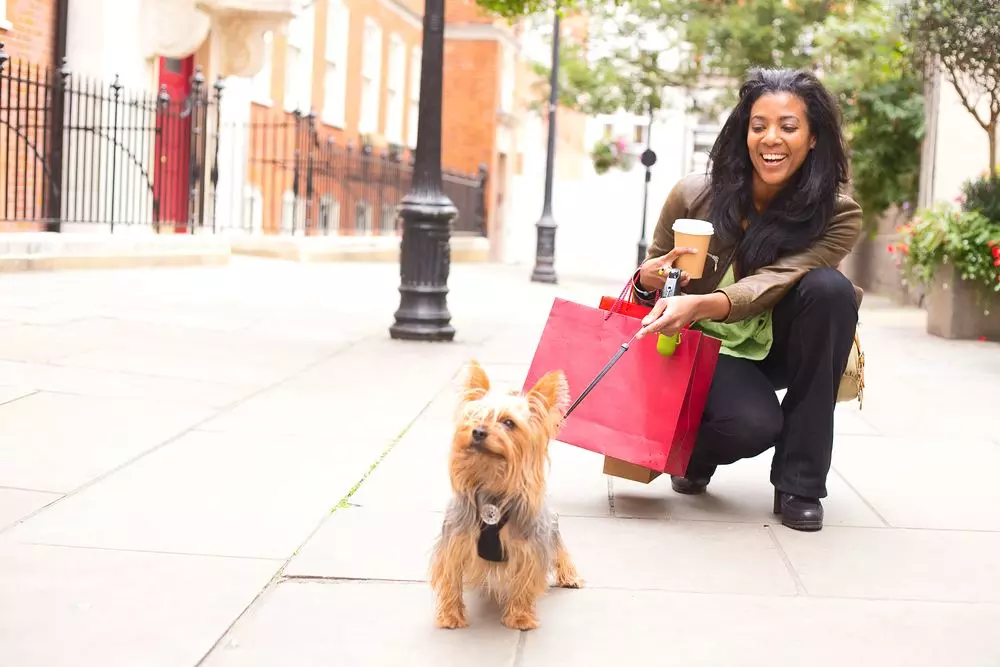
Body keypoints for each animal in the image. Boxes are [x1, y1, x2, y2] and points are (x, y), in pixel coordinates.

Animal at [428, 360, 584, 632]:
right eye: (473, 417)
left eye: (509, 423)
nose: (478, 432)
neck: (492, 484)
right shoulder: (456, 539)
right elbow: (450, 576)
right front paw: (450, 615)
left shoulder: (530, 546)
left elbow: (525, 581)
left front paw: (520, 617)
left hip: (550, 527)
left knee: (559, 548)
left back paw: (570, 575)